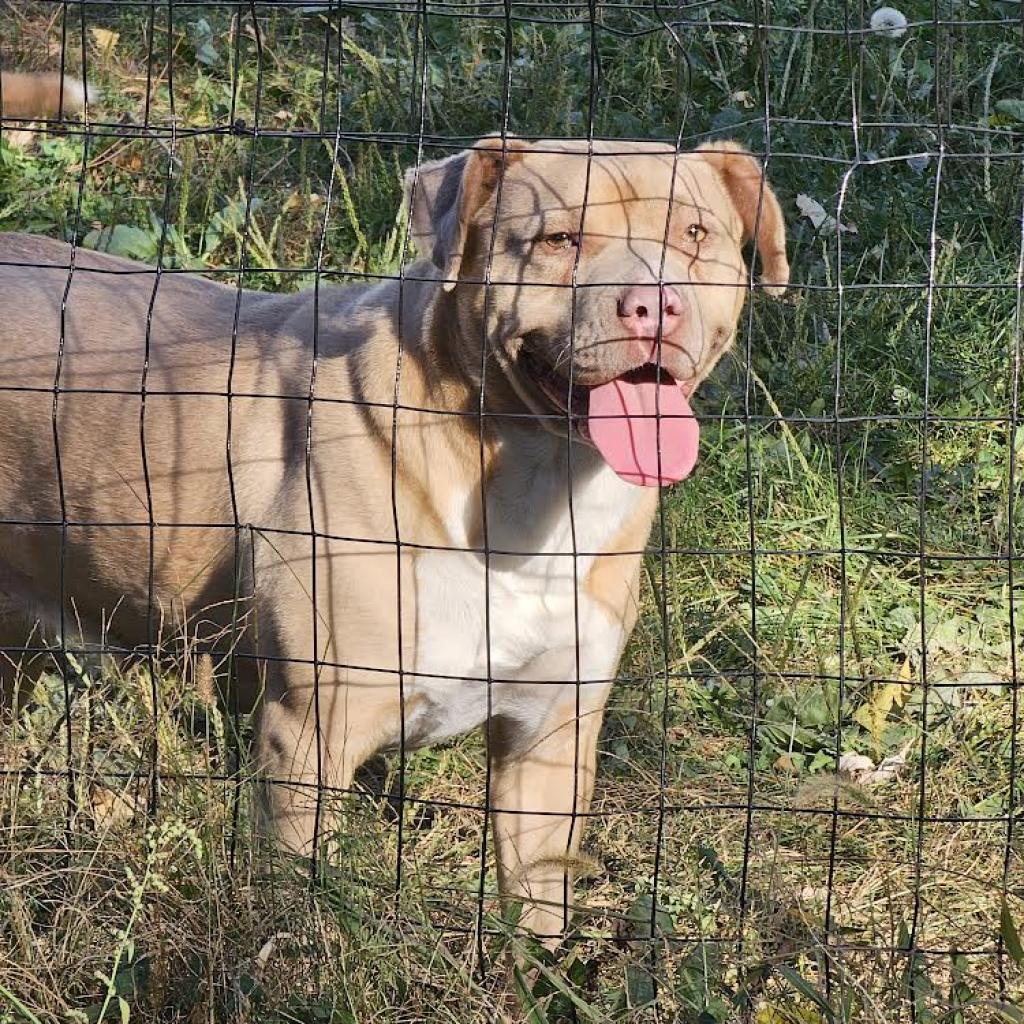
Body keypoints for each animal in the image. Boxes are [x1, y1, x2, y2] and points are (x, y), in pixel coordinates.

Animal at [0, 134, 786, 937]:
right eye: (558, 240)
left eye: (694, 234)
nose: (655, 304)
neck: (533, 487)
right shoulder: (309, 734)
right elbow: (298, 908)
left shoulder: (550, 739)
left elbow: (535, 917)